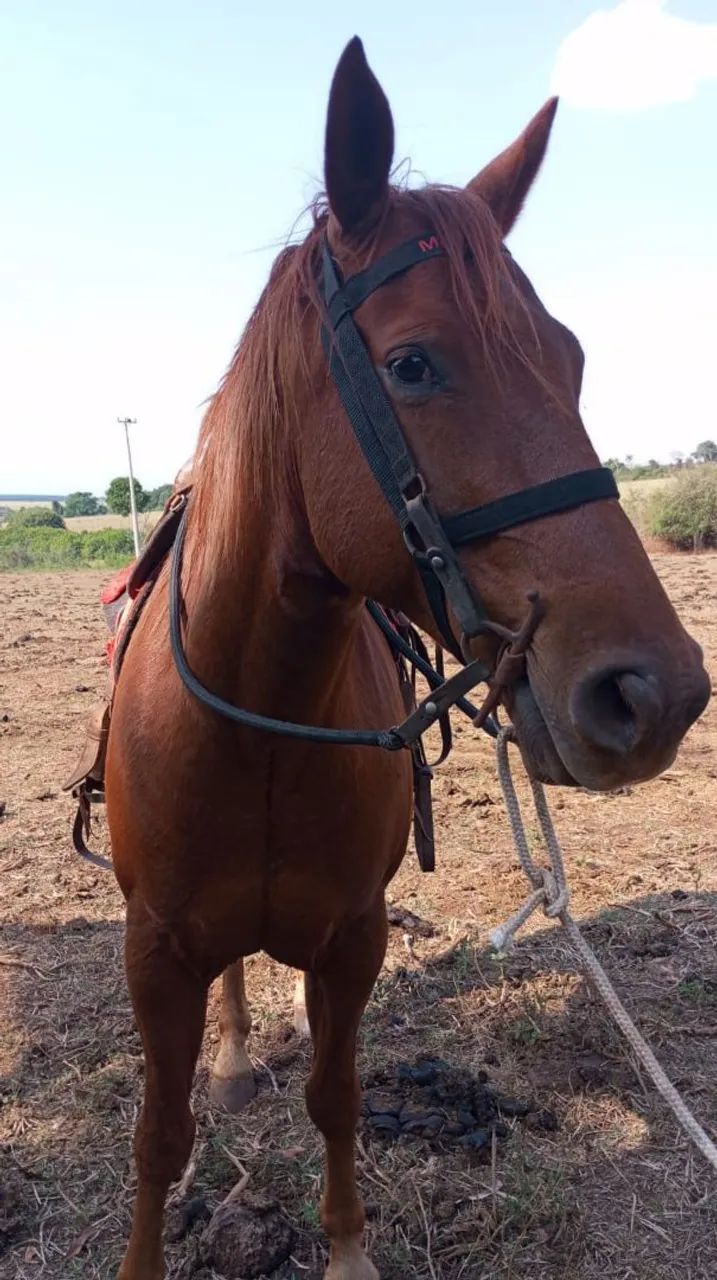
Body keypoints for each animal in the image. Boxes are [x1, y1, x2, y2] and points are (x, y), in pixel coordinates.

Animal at [107, 38, 709, 1280]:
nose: (656, 690)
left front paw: (346, 1249)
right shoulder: (156, 949)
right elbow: (159, 1134)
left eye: (573, 358)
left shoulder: (353, 938)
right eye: (415, 363)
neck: (260, 715)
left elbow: (338, 1096)